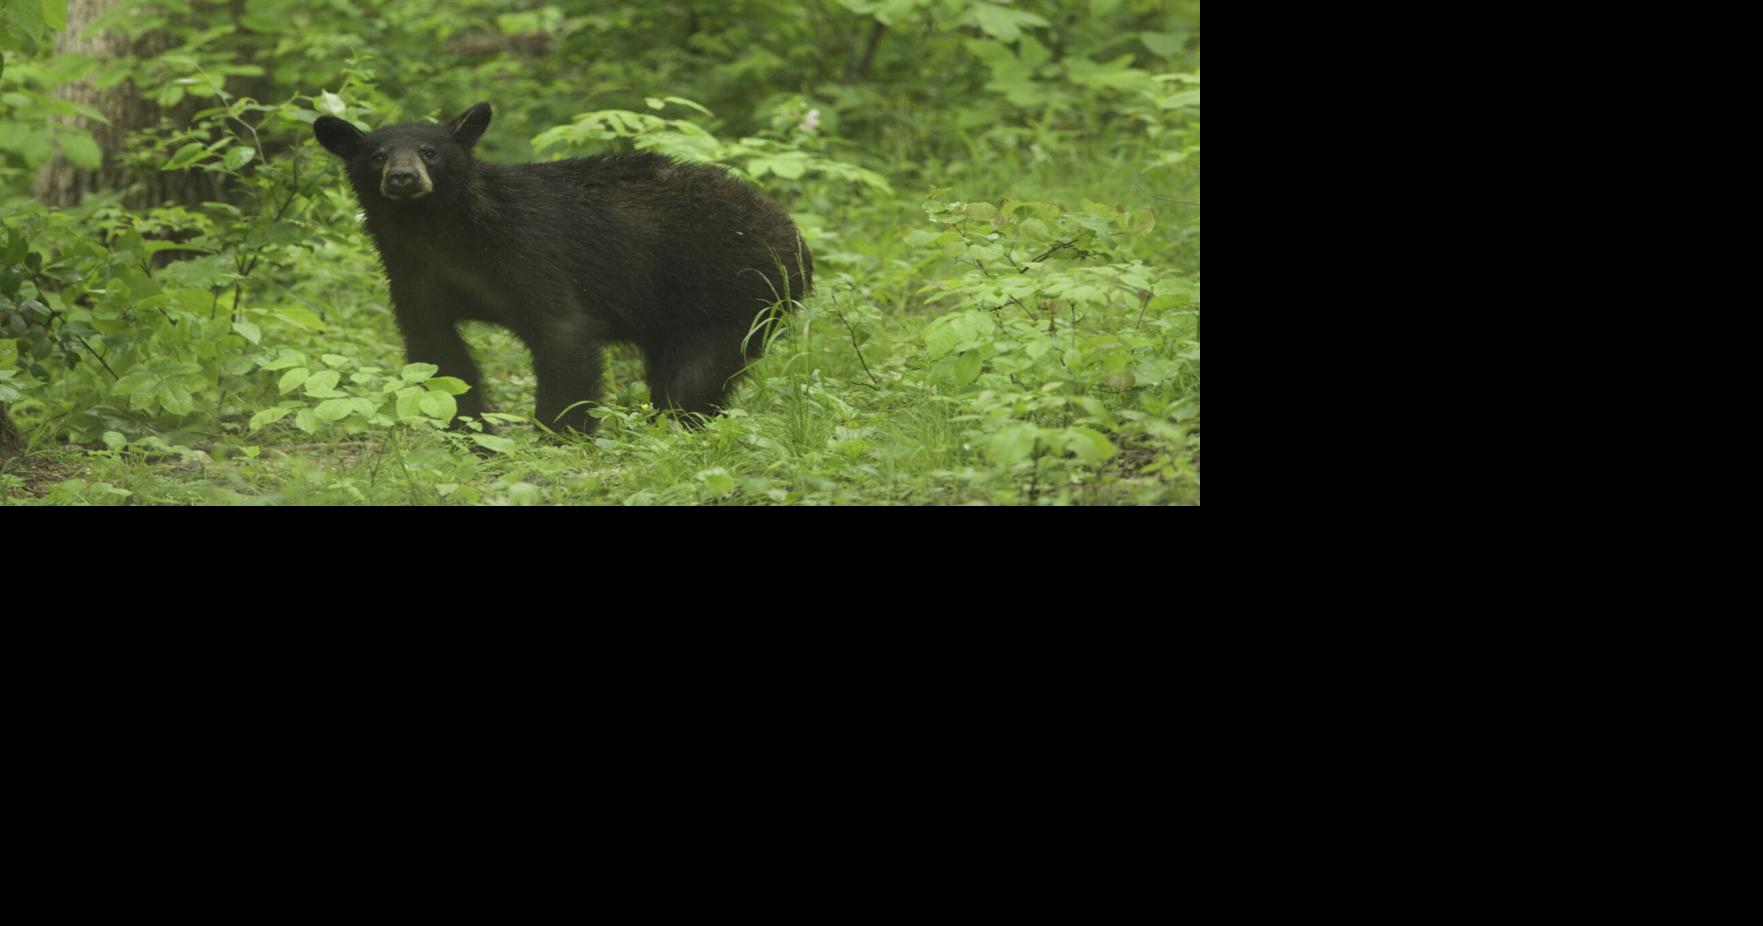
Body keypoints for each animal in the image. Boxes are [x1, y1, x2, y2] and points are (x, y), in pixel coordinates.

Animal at [312, 102, 812, 435]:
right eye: (376, 156)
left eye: (429, 151)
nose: (402, 177)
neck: (442, 234)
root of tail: (792, 231)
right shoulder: (412, 274)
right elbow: (438, 354)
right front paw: (468, 433)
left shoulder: (531, 253)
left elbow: (563, 334)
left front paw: (559, 435)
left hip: (734, 291)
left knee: (695, 376)